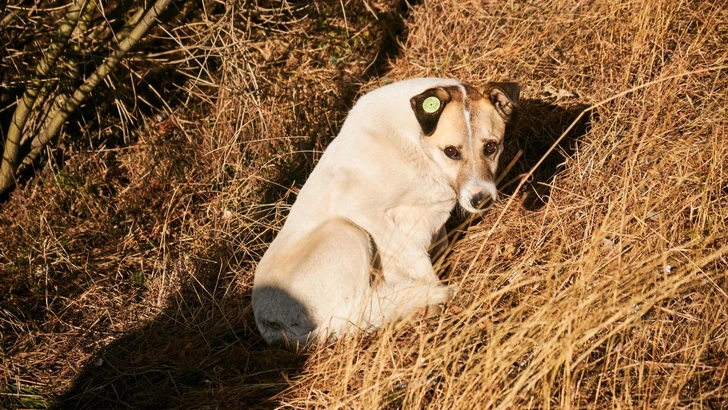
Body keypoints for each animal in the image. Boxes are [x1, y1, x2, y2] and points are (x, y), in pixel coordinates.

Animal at [250, 77, 516, 346]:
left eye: (491, 147)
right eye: (451, 151)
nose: (481, 200)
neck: (417, 145)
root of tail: (272, 328)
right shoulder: (362, 209)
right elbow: (416, 258)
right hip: (347, 231)